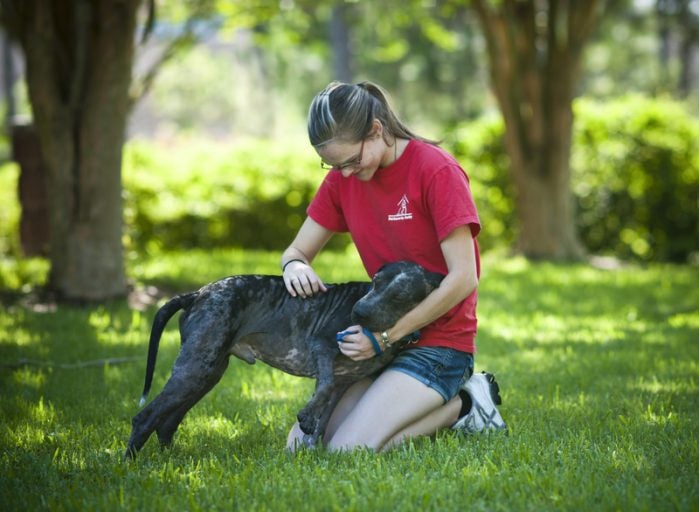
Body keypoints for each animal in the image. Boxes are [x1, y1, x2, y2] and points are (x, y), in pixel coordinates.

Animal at [126, 262, 442, 458]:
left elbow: (322, 419)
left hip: (206, 371)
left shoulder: (342, 382)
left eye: (399, 295)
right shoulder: (321, 346)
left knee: (167, 422)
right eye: (375, 283)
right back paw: (130, 465)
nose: (358, 311)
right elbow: (324, 386)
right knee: (145, 417)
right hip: (195, 369)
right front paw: (306, 418)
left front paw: (310, 451)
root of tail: (198, 293)